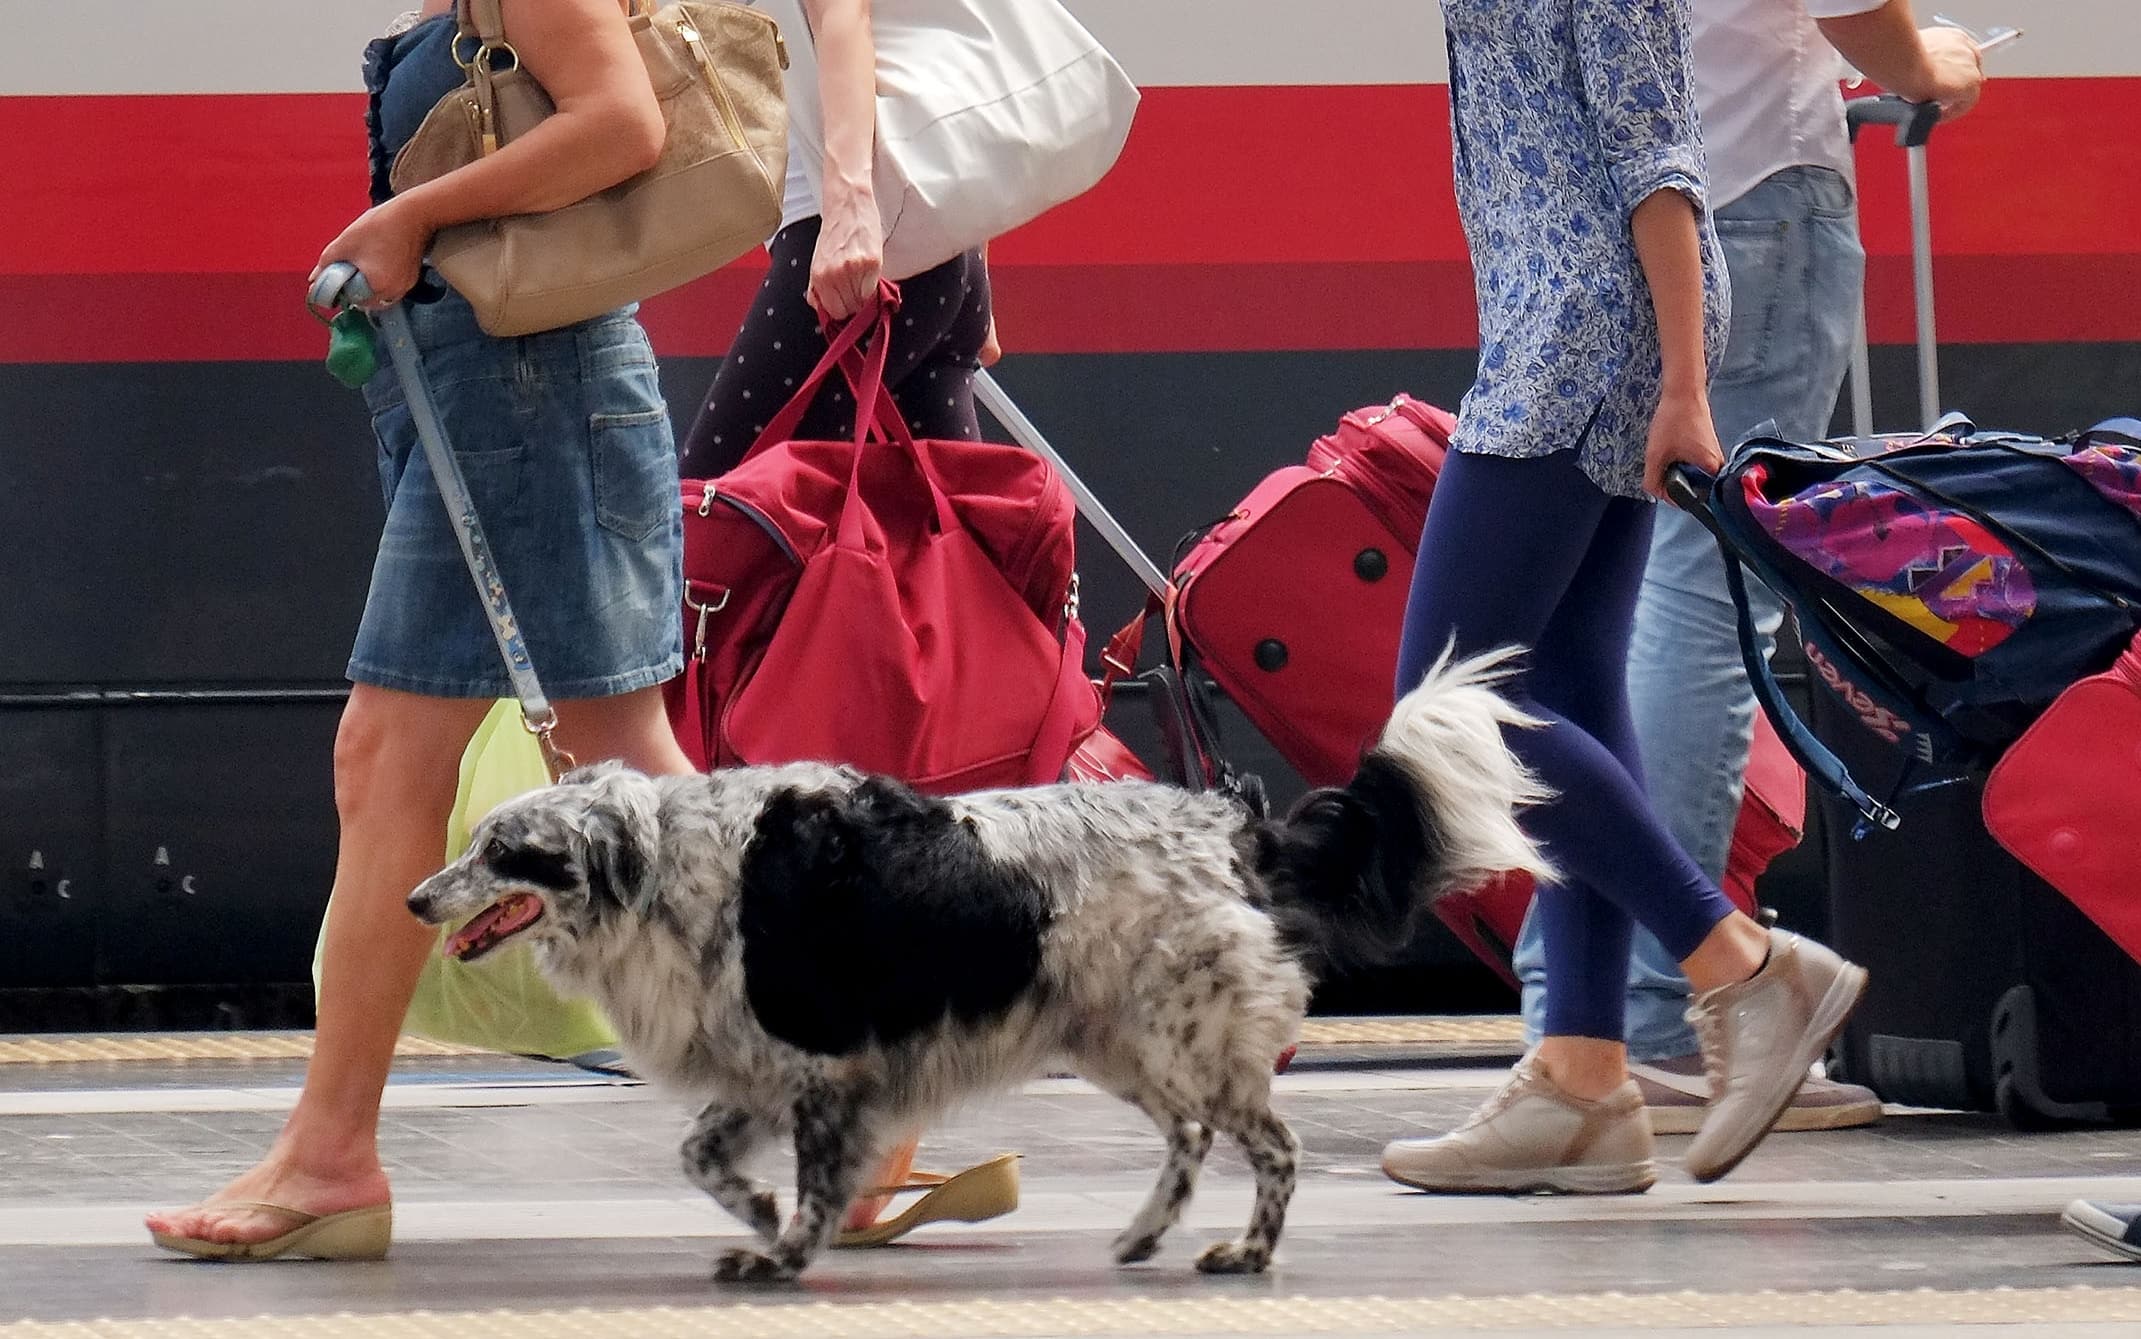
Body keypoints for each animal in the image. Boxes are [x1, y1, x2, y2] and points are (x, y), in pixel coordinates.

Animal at [404, 651, 1541, 1276]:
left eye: (500, 851)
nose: (415, 898)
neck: (658, 867)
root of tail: (1231, 825)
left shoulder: (823, 1063)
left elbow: (810, 1182)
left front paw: (783, 1251)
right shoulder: (765, 1067)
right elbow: (702, 1157)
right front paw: (762, 1216)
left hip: (1188, 1037)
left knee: (1272, 1146)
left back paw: (1245, 1252)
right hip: (1124, 1041)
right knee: (1187, 1137)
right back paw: (1141, 1235)